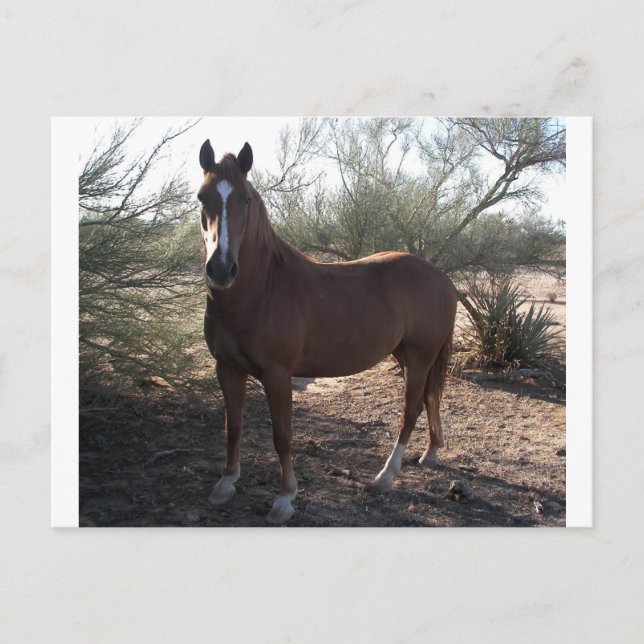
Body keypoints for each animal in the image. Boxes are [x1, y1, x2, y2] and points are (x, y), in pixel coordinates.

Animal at [197, 139, 457, 524]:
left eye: (245, 199)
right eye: (203, 198)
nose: (221, 268)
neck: (262, 289)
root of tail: (442, 279)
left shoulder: (277, 375)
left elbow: (282, 436)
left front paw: (285, 499)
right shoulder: (227, 369)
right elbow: (233, 428)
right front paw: (226, 484)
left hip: (421, 355)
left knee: (411, 410)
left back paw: (385, 477)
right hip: (407, 355)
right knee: (430, 398)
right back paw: (432, 453)